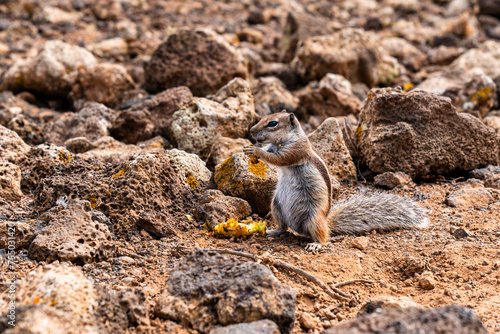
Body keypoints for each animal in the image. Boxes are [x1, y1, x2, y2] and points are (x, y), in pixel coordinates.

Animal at [243, 111, 430, 252]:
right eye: (263, 118)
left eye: (272, 123)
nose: (251, 130)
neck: (282, 141)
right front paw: (248, 148)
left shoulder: (296, 151)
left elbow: (278, 158)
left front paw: (256, 150)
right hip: (276, 206)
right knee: (283, 228)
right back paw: (272, 231)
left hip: (314, 218)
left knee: (323, 237)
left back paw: (316, 244)